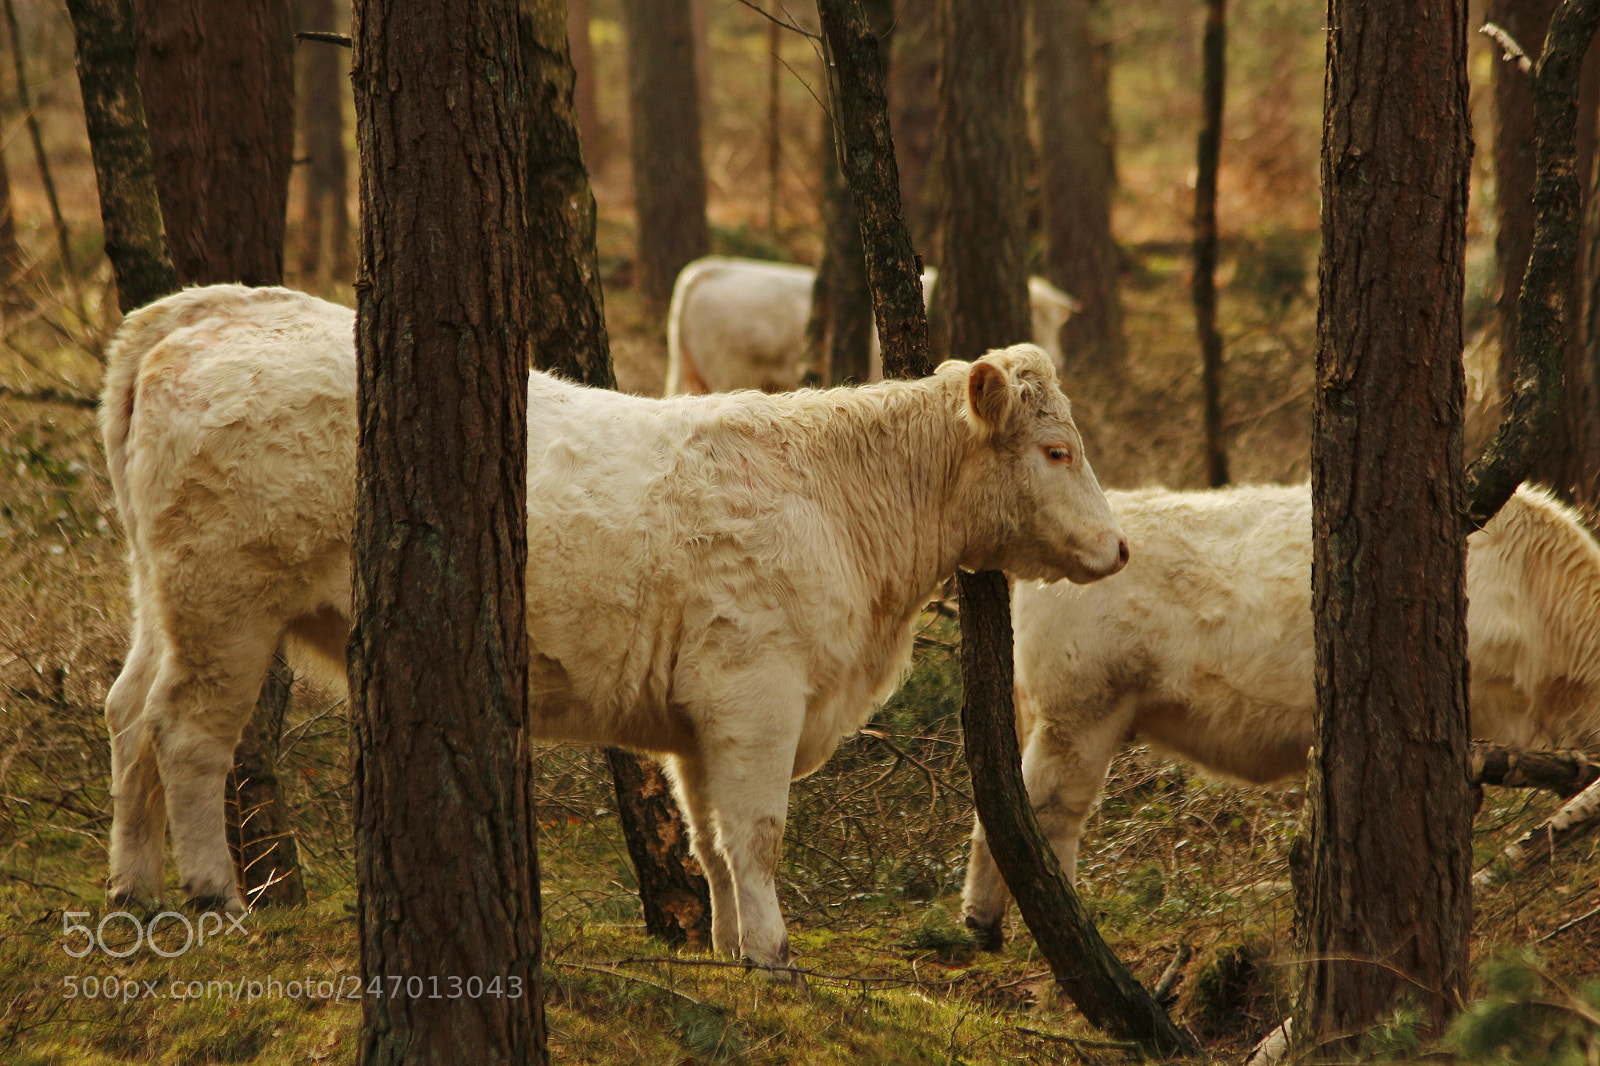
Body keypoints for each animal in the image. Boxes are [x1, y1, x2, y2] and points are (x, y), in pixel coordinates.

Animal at [99, 284, 1128, 976]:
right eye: (1056, 451)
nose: (1118, 547)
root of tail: (212, 310)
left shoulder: (699, 719)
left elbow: (711, 842)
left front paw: (727, 948)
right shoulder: (756, 694)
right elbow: (756, 834)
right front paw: (774, 952)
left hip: (161, 597)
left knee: (127, 714)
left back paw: (133, 890)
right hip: (226, 604)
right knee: (187, 736)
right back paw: (212, 894)